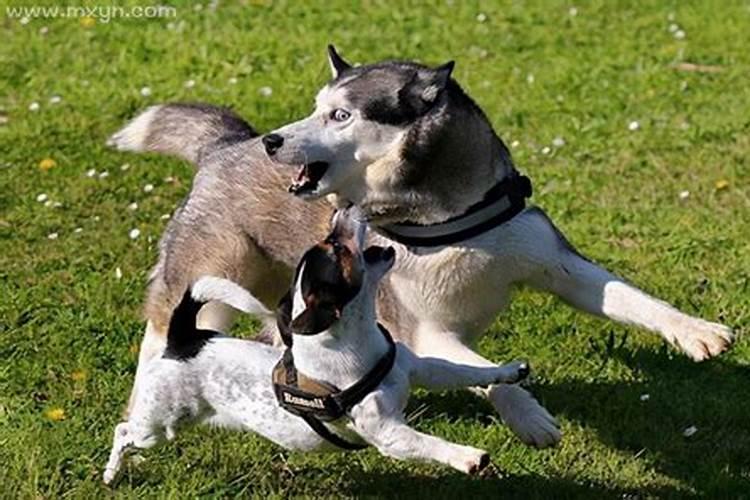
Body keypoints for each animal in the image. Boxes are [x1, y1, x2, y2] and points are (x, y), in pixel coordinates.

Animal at [108, 47, 736, 448]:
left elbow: (627, 298)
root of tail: (226, 144)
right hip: (207, 279)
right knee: (163, 337)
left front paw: (695, 331)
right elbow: (482, 370)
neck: (450, 220)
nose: (274, 141)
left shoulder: (558, 264)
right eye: (316, 107)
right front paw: (528, 414)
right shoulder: (423, 329)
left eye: (339, 114)